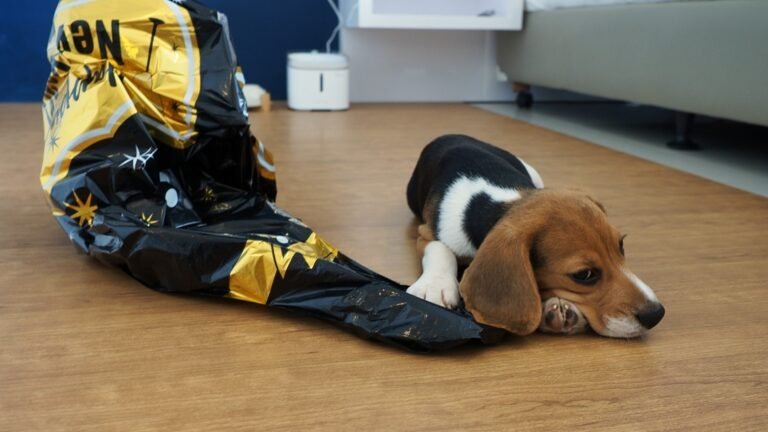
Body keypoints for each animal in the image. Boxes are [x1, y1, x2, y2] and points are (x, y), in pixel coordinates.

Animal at [404, 135, 664, 338]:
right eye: (584, 275)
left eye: (621, 246)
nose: (657, 314)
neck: (502, 203)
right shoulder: (427, 233)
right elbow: (440, 250)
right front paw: (434, 286)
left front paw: (558, 306)